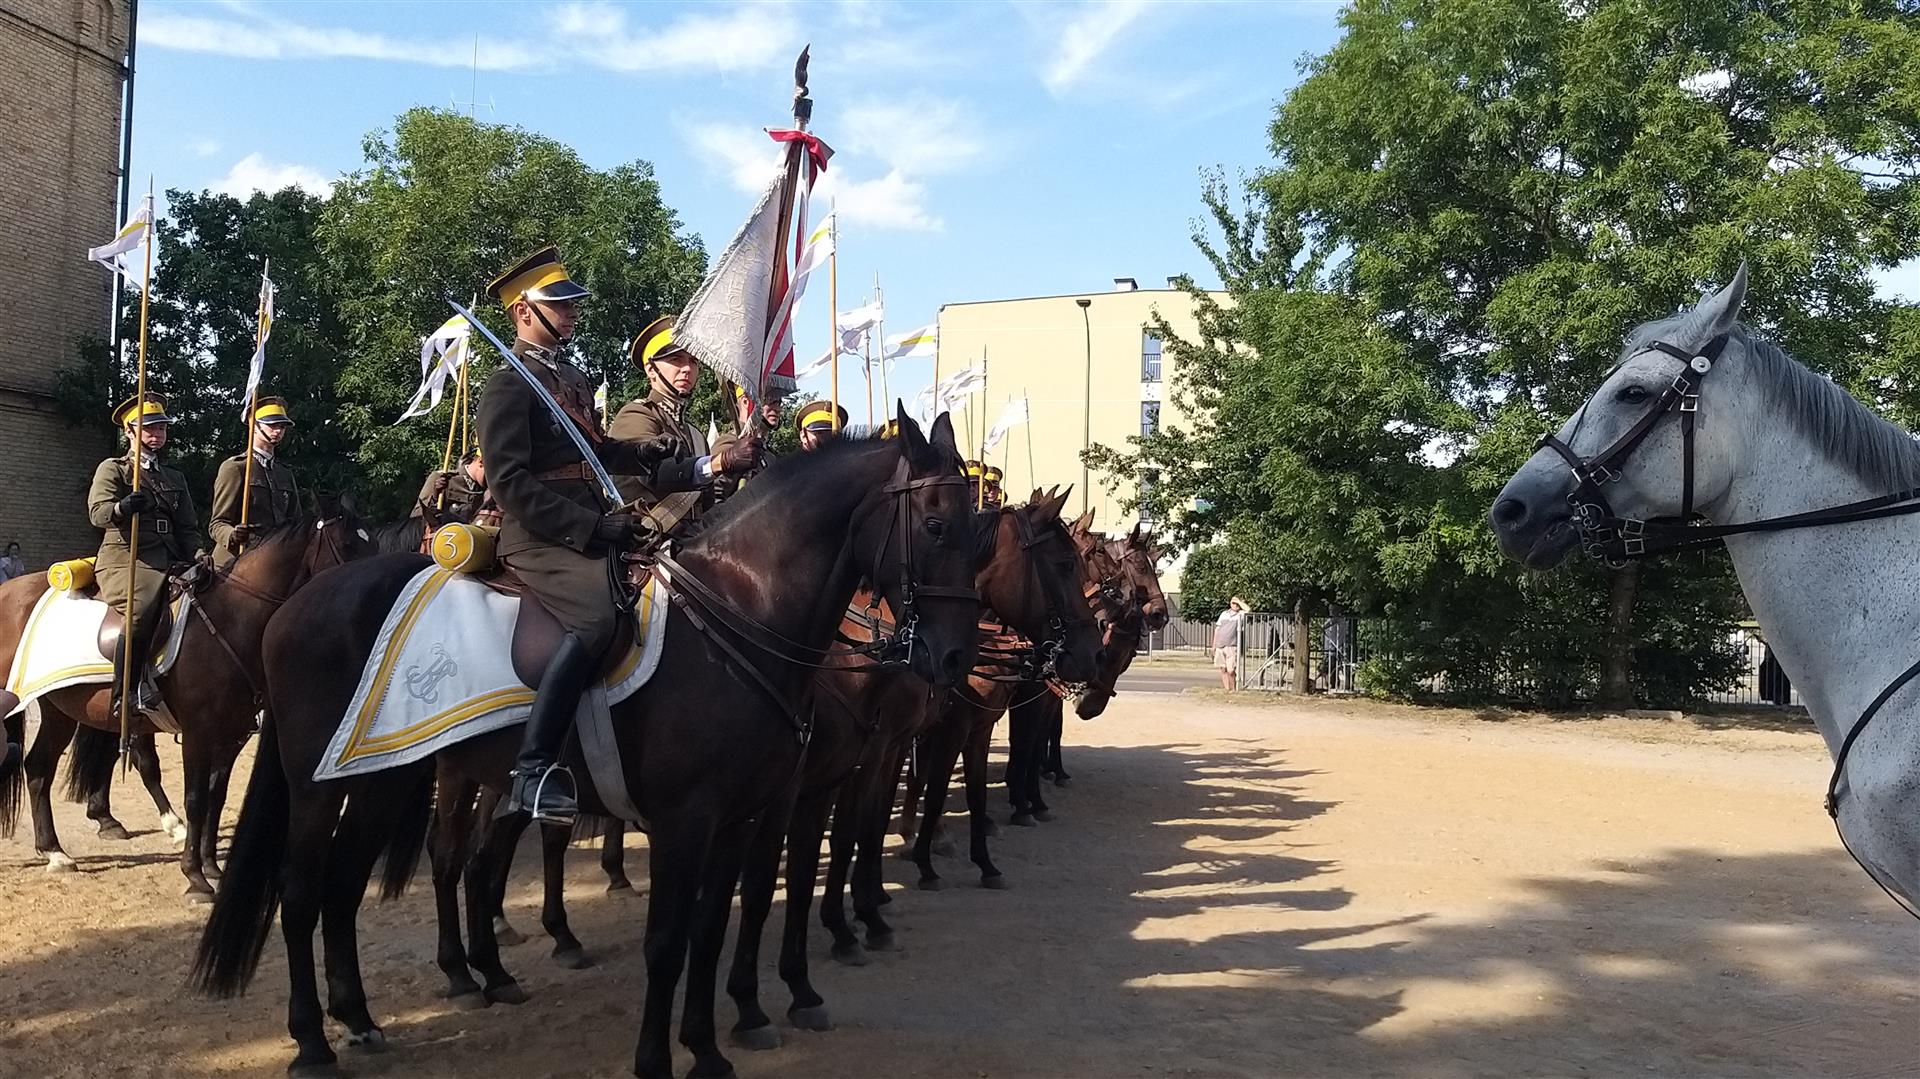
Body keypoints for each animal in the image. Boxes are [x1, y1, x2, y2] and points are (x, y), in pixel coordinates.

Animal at [0, 510, 374, 897]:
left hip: (59, 710)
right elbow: (195, 799)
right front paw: (194, 875)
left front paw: (212, 867)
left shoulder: (231, 736)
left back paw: (55, 852)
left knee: (38, 768)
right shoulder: (198, 733)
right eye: (347, 545)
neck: (232, 619)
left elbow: (215, 797)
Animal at [192, 411, 983, 1079]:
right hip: (319, 785)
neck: (738, 614)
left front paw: (710, 1047)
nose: (953, 660)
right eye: (937, 525)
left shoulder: (744, 814)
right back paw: (315, 1042)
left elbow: (712, 923)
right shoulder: (689, 820)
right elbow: (669, 940)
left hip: (385, 780)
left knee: (346, 885)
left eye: (977, 529)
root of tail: (298, 603)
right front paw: (661, 1057)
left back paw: (362, 1014)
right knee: (304, 892)